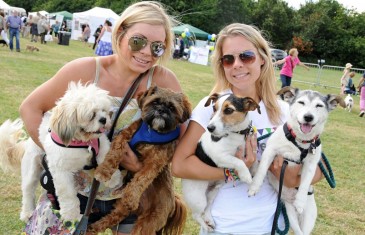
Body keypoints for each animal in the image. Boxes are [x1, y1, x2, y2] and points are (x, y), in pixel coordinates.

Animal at [0, 81, 122, 223]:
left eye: (105, 111)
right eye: (91, 115)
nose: (103, 119)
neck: (82, 143)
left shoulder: (101, 145)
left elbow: (106, 158)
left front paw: (112, 178)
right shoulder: (61, 170)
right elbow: (67, 193)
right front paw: (71, 215)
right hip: (31, 169)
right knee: (28, 190)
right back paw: (27, 212)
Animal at [88, 86, 191, 235]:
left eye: (172, 108)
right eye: (155, 102)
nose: (162, 110)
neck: (152, 132)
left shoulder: (155, 163)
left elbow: (141, 179)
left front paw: (132, 196)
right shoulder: (124, 137)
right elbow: (114, 153)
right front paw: (104, 171)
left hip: (147, 222)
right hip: (123, 208)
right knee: (113, 217)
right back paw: (93, 227)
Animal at [247, 87, 344, 235]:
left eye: (319, 105)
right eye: (301, 102)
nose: (308, 117)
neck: (299, 141)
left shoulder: (311, 164)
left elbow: (305, 183)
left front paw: (300, 201)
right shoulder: (270, 151)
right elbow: (261, 171)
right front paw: (254, 187)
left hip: (308, 217)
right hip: (290, 214)